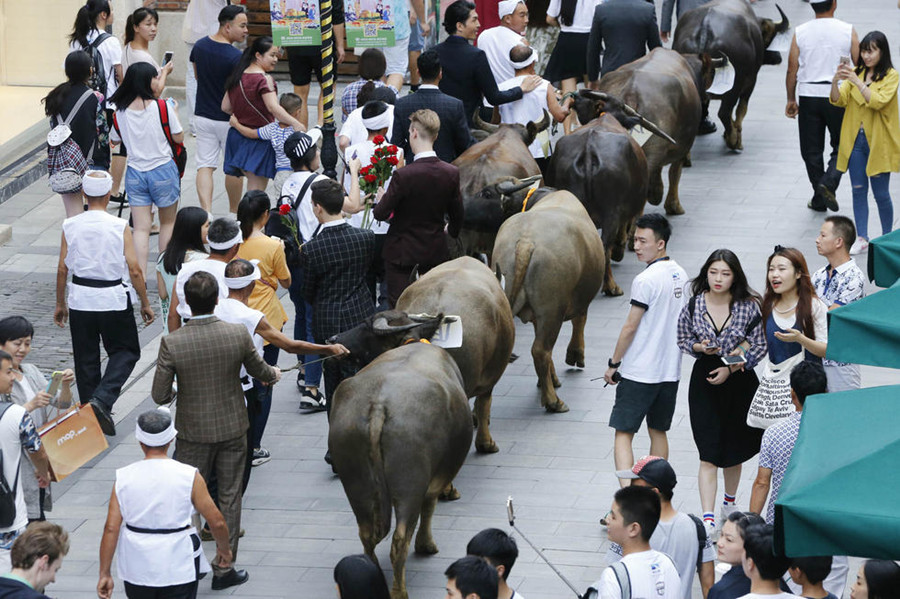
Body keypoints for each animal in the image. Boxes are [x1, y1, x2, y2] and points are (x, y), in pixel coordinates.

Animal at [328, 342, 472, 599]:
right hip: (410, 483)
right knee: (401, 538)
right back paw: (399, 590)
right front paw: (427, 545)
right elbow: (430, 505)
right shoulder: (438, 475)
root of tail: (379, 405)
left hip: (356, 483)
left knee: (366, 533)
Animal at [492, 190, 604, 410]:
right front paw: (575, 355)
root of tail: (526, 242)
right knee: (541, 350)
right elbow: (580, 321)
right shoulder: (579, 300)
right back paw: (553, 401)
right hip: (552, 309)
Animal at [676, 0, 788, 150]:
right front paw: (735, 133)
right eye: (771, 38)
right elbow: (741, 109)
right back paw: (734, 141)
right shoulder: (750, 82)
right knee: (724, 112)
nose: (778, 57)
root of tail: (705, 27)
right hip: (735, 84)